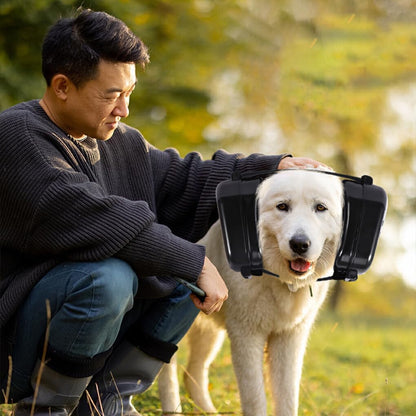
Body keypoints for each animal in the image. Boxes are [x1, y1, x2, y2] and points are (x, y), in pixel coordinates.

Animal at [158, 170, 342, 416]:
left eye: (320, 208)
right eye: (282, 206)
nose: (299, 244)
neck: (280, 279)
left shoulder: (290, 338)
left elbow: (287, 399)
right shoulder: (246, 335)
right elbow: (255, 398)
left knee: (193, 372)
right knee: (166, 371)